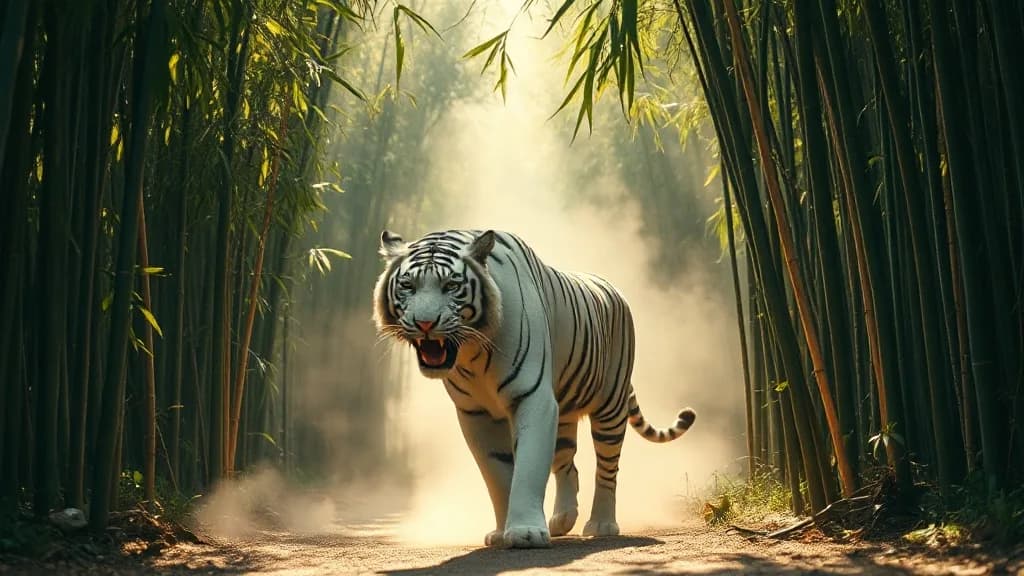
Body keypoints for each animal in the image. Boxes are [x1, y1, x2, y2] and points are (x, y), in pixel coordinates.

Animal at [373, 229, 696, 549]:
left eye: (451, 285)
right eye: (408, 286)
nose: (425, 323)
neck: (472, 352)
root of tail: (614, 289)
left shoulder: (532, 399)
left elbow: (528, 468)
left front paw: (526, 532)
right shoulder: (475, 413)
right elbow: (497, 474)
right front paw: (502, 531)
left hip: (610, 405)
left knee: (607, 467)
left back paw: (602, 524)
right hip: (564, 415)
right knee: (569, 466)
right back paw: (562, 520)